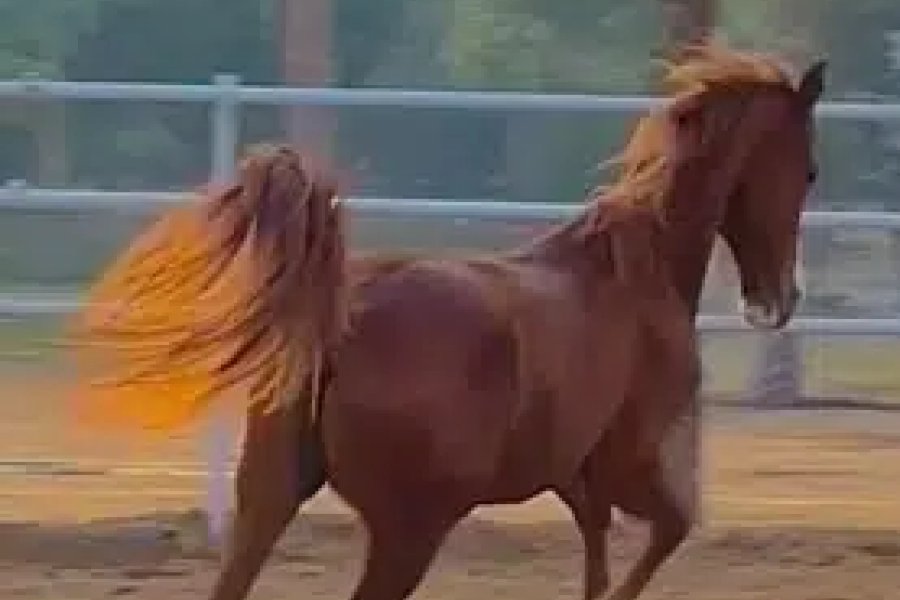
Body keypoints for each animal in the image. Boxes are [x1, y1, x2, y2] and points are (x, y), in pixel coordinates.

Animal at [69, 43, 824, 600]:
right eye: (811, 170)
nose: (778, 299)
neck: (637, 272)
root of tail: (335, 318)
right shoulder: (626, 464)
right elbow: (669, 532)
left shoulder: (575, 477)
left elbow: (599, 559)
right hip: (409, 531)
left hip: (269, 497)